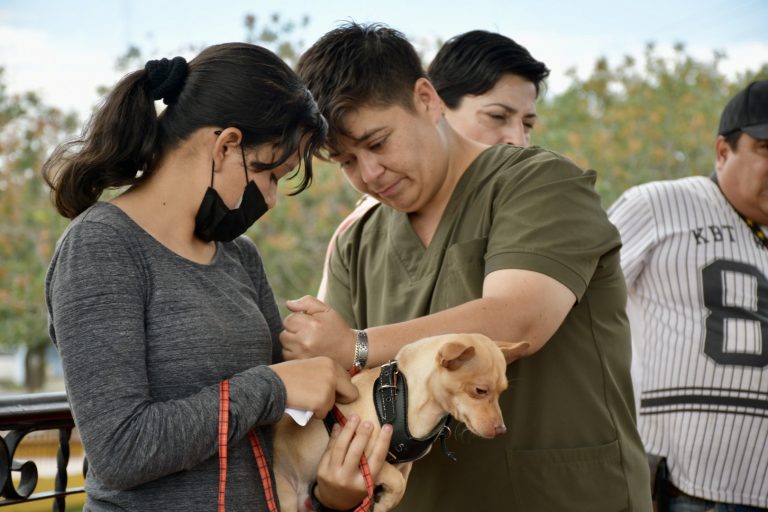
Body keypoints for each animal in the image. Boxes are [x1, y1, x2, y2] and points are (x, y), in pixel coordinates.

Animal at [272, 334, 532, 510]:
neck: (403, 399)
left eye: (502, 392)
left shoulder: (404, 465)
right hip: (285, 496)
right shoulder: (370, 459)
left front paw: (385, 502)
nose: (501, 429)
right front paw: (383, 502)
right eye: (480, 391)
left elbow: (401, 485)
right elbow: (395, 481)